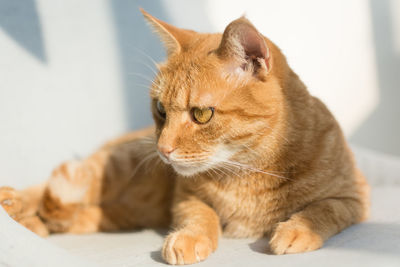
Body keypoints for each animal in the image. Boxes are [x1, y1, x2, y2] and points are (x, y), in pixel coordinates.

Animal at [0, 8, 368, 266]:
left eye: (201, 114)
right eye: (161, 109)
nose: (163, 149)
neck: (247, 173)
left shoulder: (354, 197)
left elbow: (325, 210)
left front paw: (297, 229)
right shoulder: (185, 197)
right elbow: (200, 216)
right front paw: (189, 239)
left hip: (113, 216)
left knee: (63, 217)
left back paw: (30, 221)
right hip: (112, 167)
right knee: (48, 191)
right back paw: (13, 202)